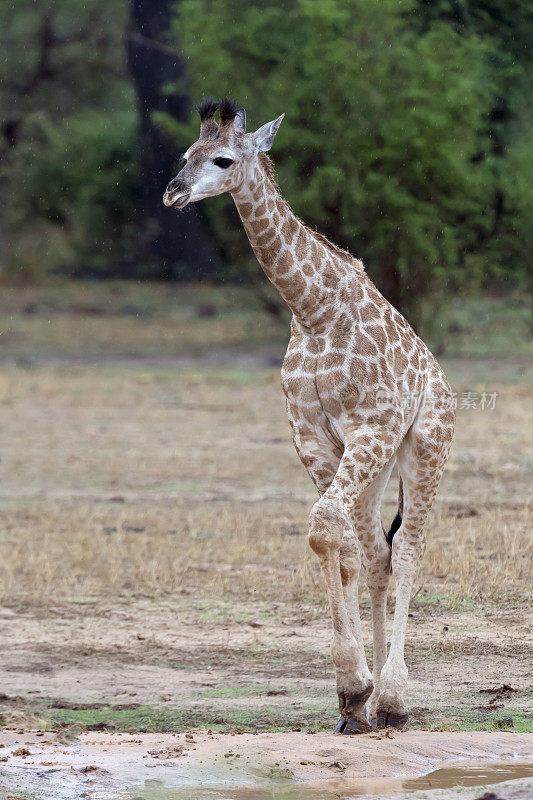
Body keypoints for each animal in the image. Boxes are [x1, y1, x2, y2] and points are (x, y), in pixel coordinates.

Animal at [162, 97, 454, 736]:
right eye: (186, 153)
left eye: (222, 159)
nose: (173, 192)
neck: (315, 309)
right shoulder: (314, 440)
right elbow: (335, 543)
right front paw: (352, 696)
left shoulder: (371, 426)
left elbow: (326, 528)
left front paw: (360, 687)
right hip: (376, 467)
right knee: (376, 553)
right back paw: (376, 706)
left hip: (422, 447)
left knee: (409, 549)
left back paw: (396, 698)